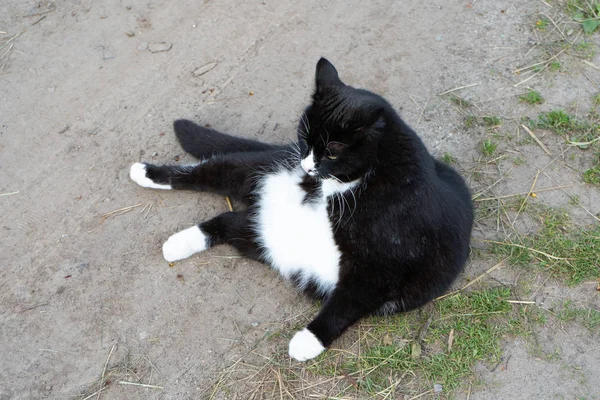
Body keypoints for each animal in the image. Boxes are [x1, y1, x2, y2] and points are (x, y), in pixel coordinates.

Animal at [130, 59, 474, 362]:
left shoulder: (382, 267)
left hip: (263, 238)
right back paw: (146, 174)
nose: (306, 166)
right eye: (305, 138)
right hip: (256, 170)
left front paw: (307, 341)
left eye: (332, 151)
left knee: (227, 221)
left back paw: (177, 243)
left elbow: (348, 302)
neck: (350, 185)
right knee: (208, 173)